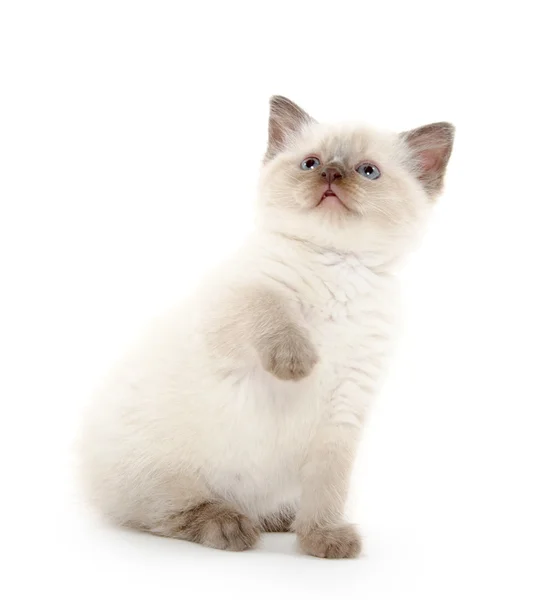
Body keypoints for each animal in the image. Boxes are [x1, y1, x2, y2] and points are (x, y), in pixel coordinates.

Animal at [78, 95, 452, 556]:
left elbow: (329, 488)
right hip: (162, 473)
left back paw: (282, 521)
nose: (331, 174)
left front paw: (324, 538)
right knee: (167, 514)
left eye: (368, 171)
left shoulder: (345, 406)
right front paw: (297, 362)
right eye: (310, 163)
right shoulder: (236, 304)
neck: (338, 267)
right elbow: (270, 308)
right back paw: (230, 525)